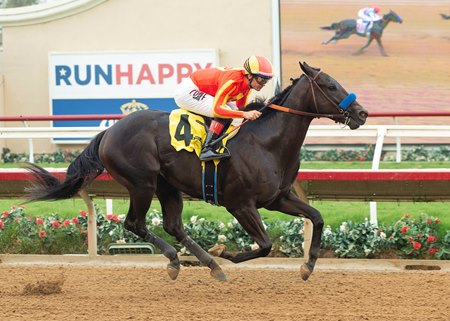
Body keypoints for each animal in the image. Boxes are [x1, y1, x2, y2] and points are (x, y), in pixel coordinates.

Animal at [24, 61, 368, 282]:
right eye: (330, 85)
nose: (362, 113)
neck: (267, 141)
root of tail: (109, 131)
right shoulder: (240, 204)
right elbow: (265, 245)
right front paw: (226, 251)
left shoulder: (278, 199)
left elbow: (317, 218)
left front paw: (308, 266)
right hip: (141, 183)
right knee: (135, 223)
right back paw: (183, 261)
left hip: (167, 185)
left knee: (173, 225)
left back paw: (210, 265)